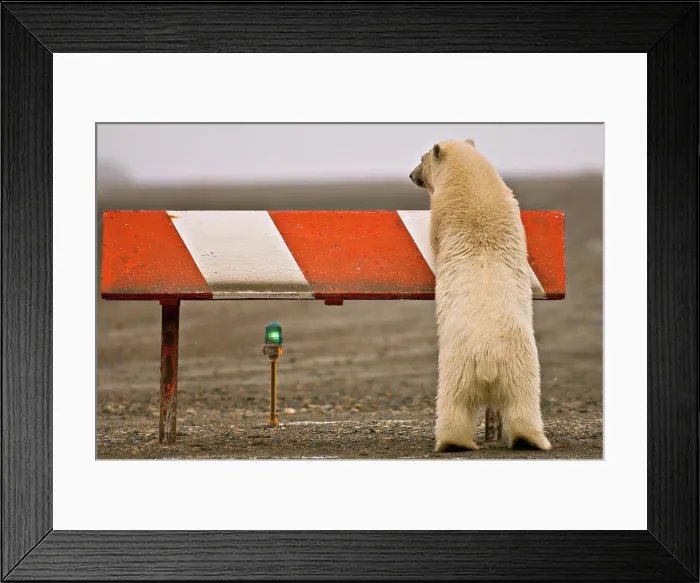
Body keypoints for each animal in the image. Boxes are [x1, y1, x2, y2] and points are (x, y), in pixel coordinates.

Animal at [409, 139, 551, 452]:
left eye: (421, 159)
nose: (411, 175)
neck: (474, 185)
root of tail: (489, 359)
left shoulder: (445, 211)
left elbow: (435, 236)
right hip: (520, 369)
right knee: (524, 404)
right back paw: (530, 439)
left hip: (458, 367)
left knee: (454, 404)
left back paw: (453, 442)